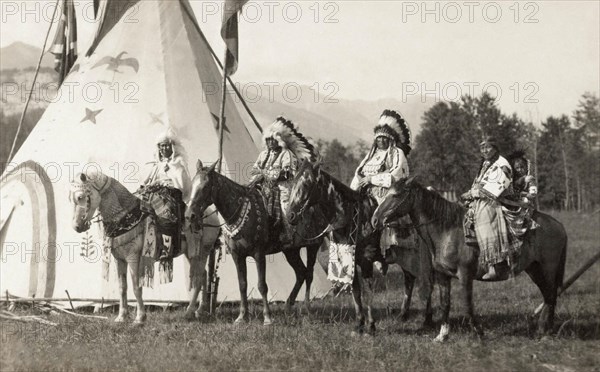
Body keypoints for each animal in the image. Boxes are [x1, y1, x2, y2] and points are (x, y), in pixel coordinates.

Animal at [70, 169, 219, 322]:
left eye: (80, 197)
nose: (77, 226)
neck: (125, 216)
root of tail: (212, 216)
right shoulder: (119, 259)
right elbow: (122, 288)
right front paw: (122, 316)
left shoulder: (133, 258)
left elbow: (136, 287)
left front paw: (140, 317)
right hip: (191, 254)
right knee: (203, 275)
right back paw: (200, 310)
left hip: (202, 252)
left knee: (199, 278)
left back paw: (189, 312)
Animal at [189, 160, 326, 326]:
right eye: (192, 184)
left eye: (205, 187)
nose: (190, 215)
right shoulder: (237, 255)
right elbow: (242, 284)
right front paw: (242, 316)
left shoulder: (258, 254)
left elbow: (262, 285)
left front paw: (267, 317)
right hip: (290, 251)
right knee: (301, 273)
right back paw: (288, 306)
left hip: (313, 247)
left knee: (309, 275)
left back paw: (307, 309)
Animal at [288, 161, 424, 336]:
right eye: (293, 183)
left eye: (306, 184)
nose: (290, 215)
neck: (353, 218)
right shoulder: (349, 262)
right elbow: (356, 292)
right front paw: (359, 324)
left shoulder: (366, 261)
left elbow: (367, 292)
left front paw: (371, 326)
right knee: (409, 278)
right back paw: (403, 315)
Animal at [370, 177, 568, 340]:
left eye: (396, 195)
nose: (375, 220)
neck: (446, 230)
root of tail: (559, 225)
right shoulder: (443, 275)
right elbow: (445, 304)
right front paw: (442, 335)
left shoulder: (465, 275)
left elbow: (467, 304)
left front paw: (478, 332)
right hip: (534, 269)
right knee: (548, 295)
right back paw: (543, 329)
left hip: (548, 268)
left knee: (551, 294)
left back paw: (546, 331)